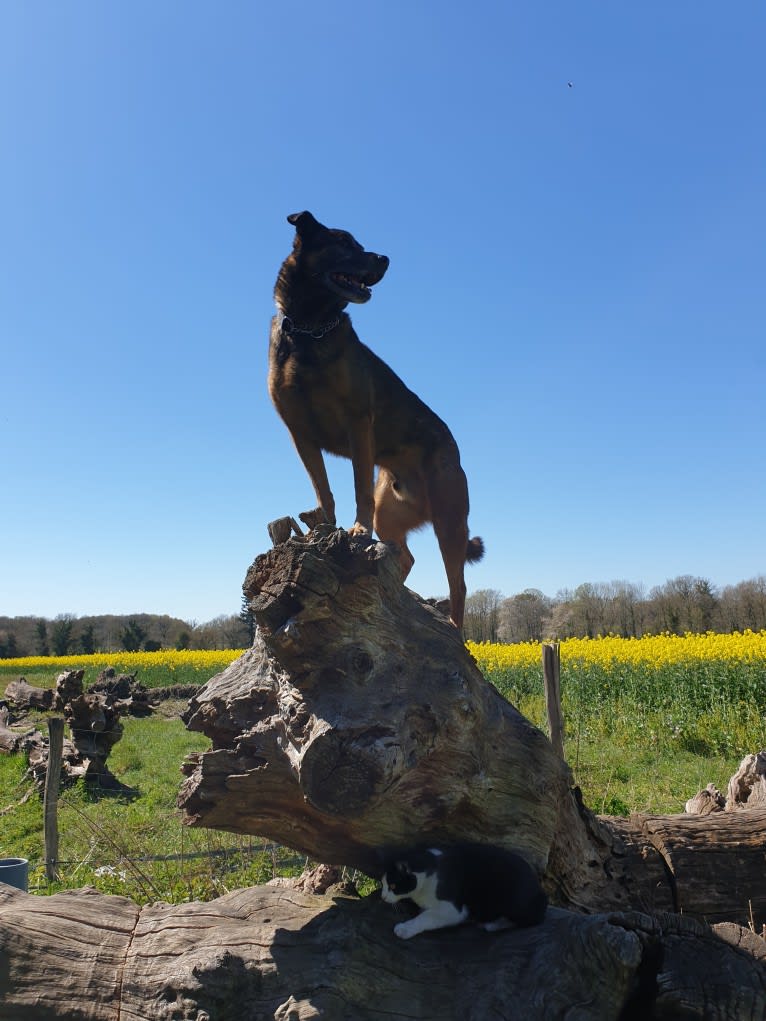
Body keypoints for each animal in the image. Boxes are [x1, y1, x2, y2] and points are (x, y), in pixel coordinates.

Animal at [269, 209, 482, 628]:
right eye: (343, 243)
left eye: (358, 242)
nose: (384, 259)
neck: (309, 329)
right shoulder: (299, 433)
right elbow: (323, 489)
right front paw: (325, 527)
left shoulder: (357, 422)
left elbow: (357, 488)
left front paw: (355, 529)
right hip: (393, 517)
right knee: (405, 556)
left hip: (450, 523)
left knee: (459, 586)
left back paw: (452, 626)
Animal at [381, 845, 547, 939]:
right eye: (382, 884)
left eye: (393, 886)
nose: (382, 897)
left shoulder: (453, 909)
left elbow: (426, 916)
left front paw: (405, 928)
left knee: (533, 919)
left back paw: (494, 924)